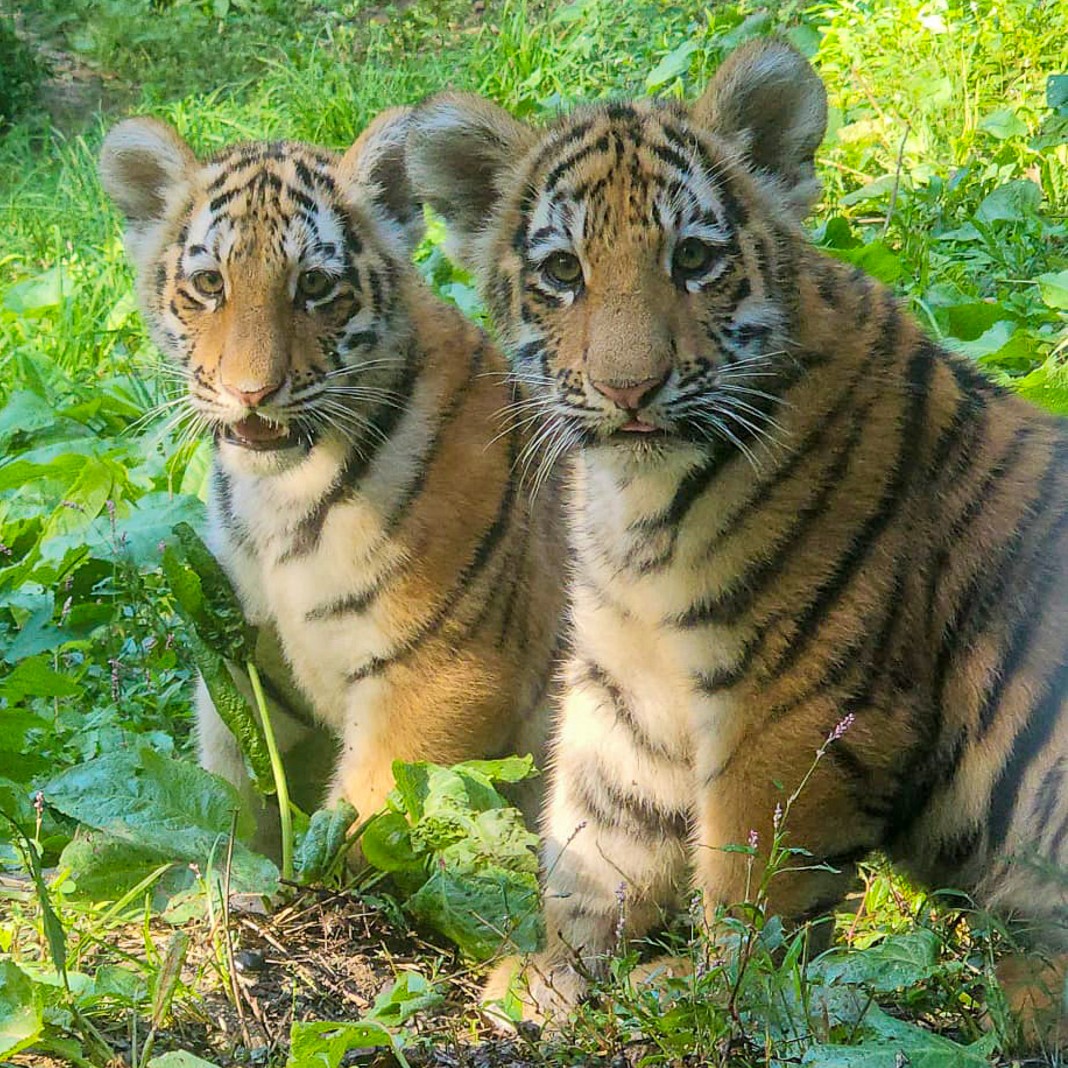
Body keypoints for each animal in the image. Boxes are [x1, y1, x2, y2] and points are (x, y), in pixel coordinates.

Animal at [99, 109, 566, 844]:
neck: (277, 498)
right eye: (210, 285)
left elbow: (366, 826)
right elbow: (234, 804)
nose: (251, 392)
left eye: (314, 286)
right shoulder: (244, 666)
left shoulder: (438, 680)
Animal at [406, 39, 1068, 1037]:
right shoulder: (622, 680)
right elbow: (598, 830)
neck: (637, 504)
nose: (630, 388)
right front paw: (554, 973)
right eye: (561, 271)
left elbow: (751, 869)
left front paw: (716, 997)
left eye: (693, 258)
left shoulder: (793, 699)